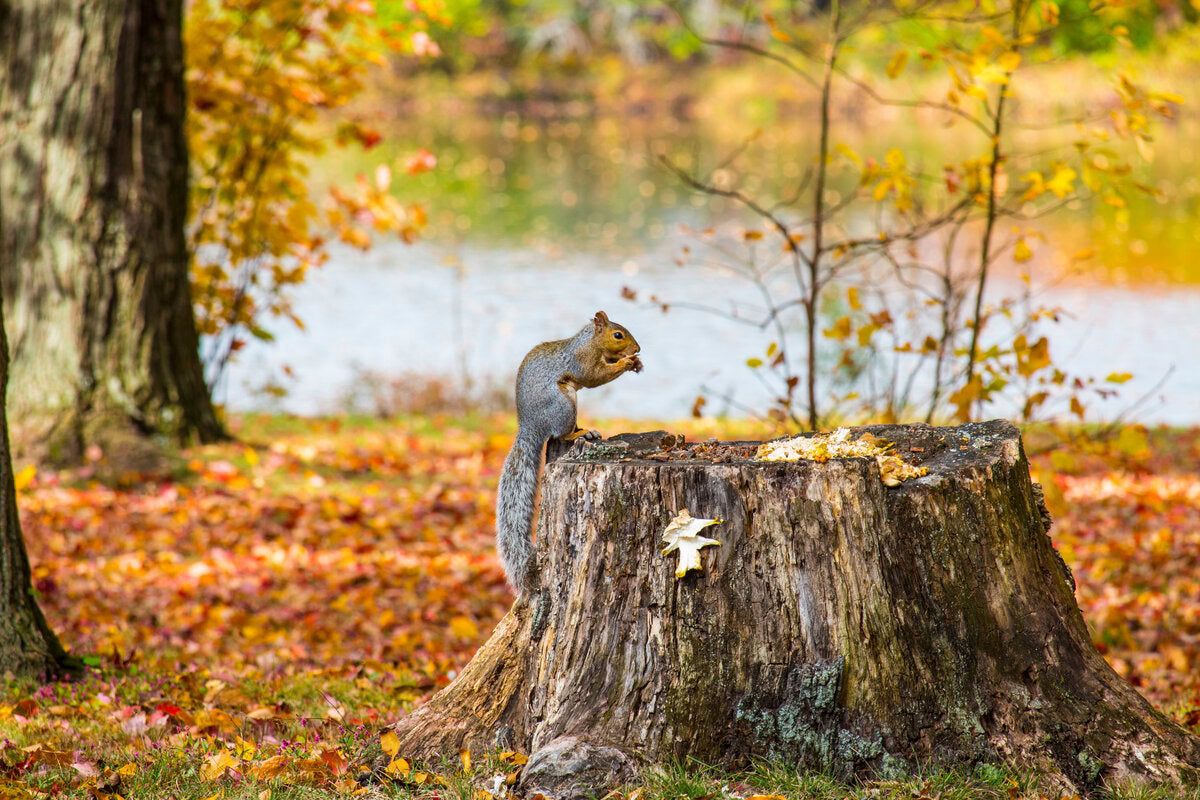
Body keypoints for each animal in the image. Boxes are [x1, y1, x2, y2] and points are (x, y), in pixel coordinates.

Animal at [496, 310, 642, 595]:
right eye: (618, 334)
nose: (637, 349)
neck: (590, 342)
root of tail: (530, 425)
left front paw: (635, 363)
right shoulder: (581, 361)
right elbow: (595, 376)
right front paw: (627, 362)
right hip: (563, 404)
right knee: (559, 434)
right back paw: (577, 434)